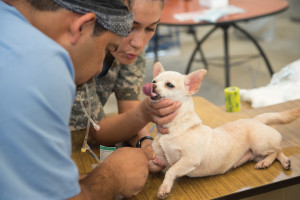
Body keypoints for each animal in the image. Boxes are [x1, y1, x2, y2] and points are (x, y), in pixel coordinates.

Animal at [142, 62, 300, 198]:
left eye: (169, 85)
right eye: (154, 81)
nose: (152, 86)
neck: (172, 127)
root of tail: (255, 120)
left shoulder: (190, 159)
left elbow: (171, 170)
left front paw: (164, 187)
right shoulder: (160, 158)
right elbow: (154, 164)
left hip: (260, 144)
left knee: (278, 150)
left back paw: (273, 162)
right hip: (256, 152)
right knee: (273, 152)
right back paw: (268, 161)